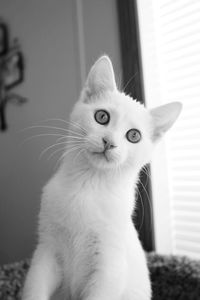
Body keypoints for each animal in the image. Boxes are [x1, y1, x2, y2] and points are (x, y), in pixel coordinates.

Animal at [21, 56, 181, 300]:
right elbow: (35, 288)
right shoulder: (46, 250)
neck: (89, 185)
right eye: (102, 116)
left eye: (134, 135)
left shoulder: (110, 266)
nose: (109, 142)